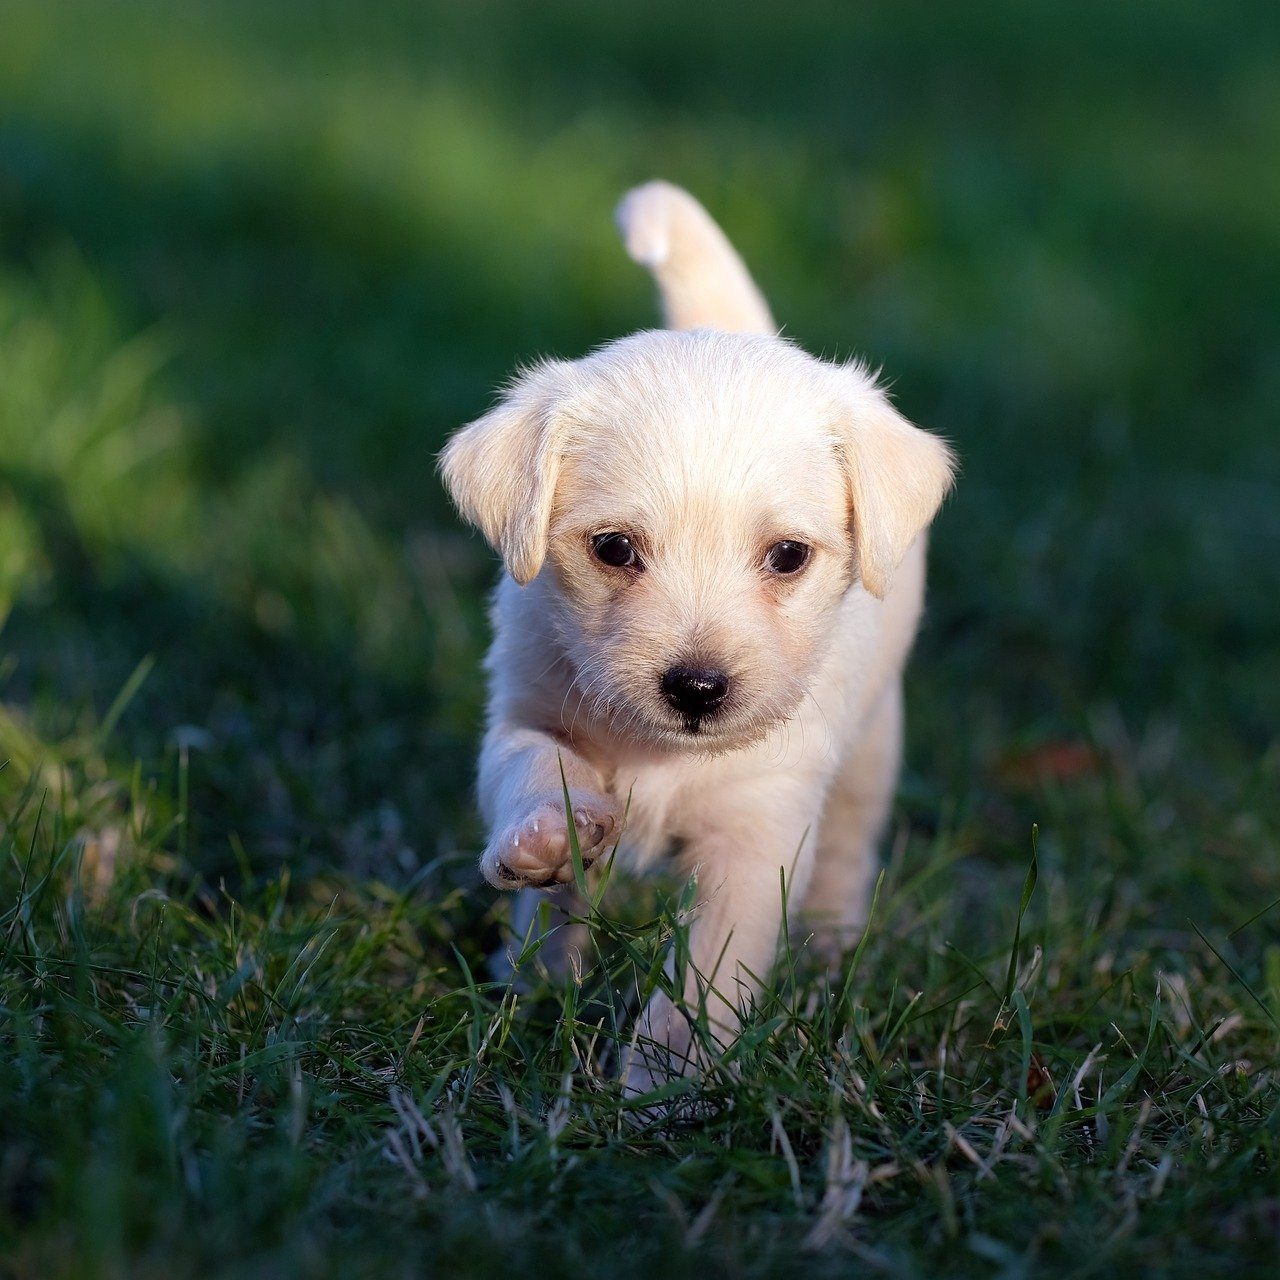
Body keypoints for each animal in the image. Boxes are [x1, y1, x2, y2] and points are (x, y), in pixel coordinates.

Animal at [440, 180, 952, 1090]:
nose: (698, 688)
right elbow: (534, 770)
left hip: (872, 750)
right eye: (613, 548)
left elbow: (705, 977)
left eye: (788, 556)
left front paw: (665, 1084)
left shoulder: (757, 835)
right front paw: (546, 839)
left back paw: (829, 947)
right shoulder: (526, 711)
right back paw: (532, 974)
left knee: (849, 847)